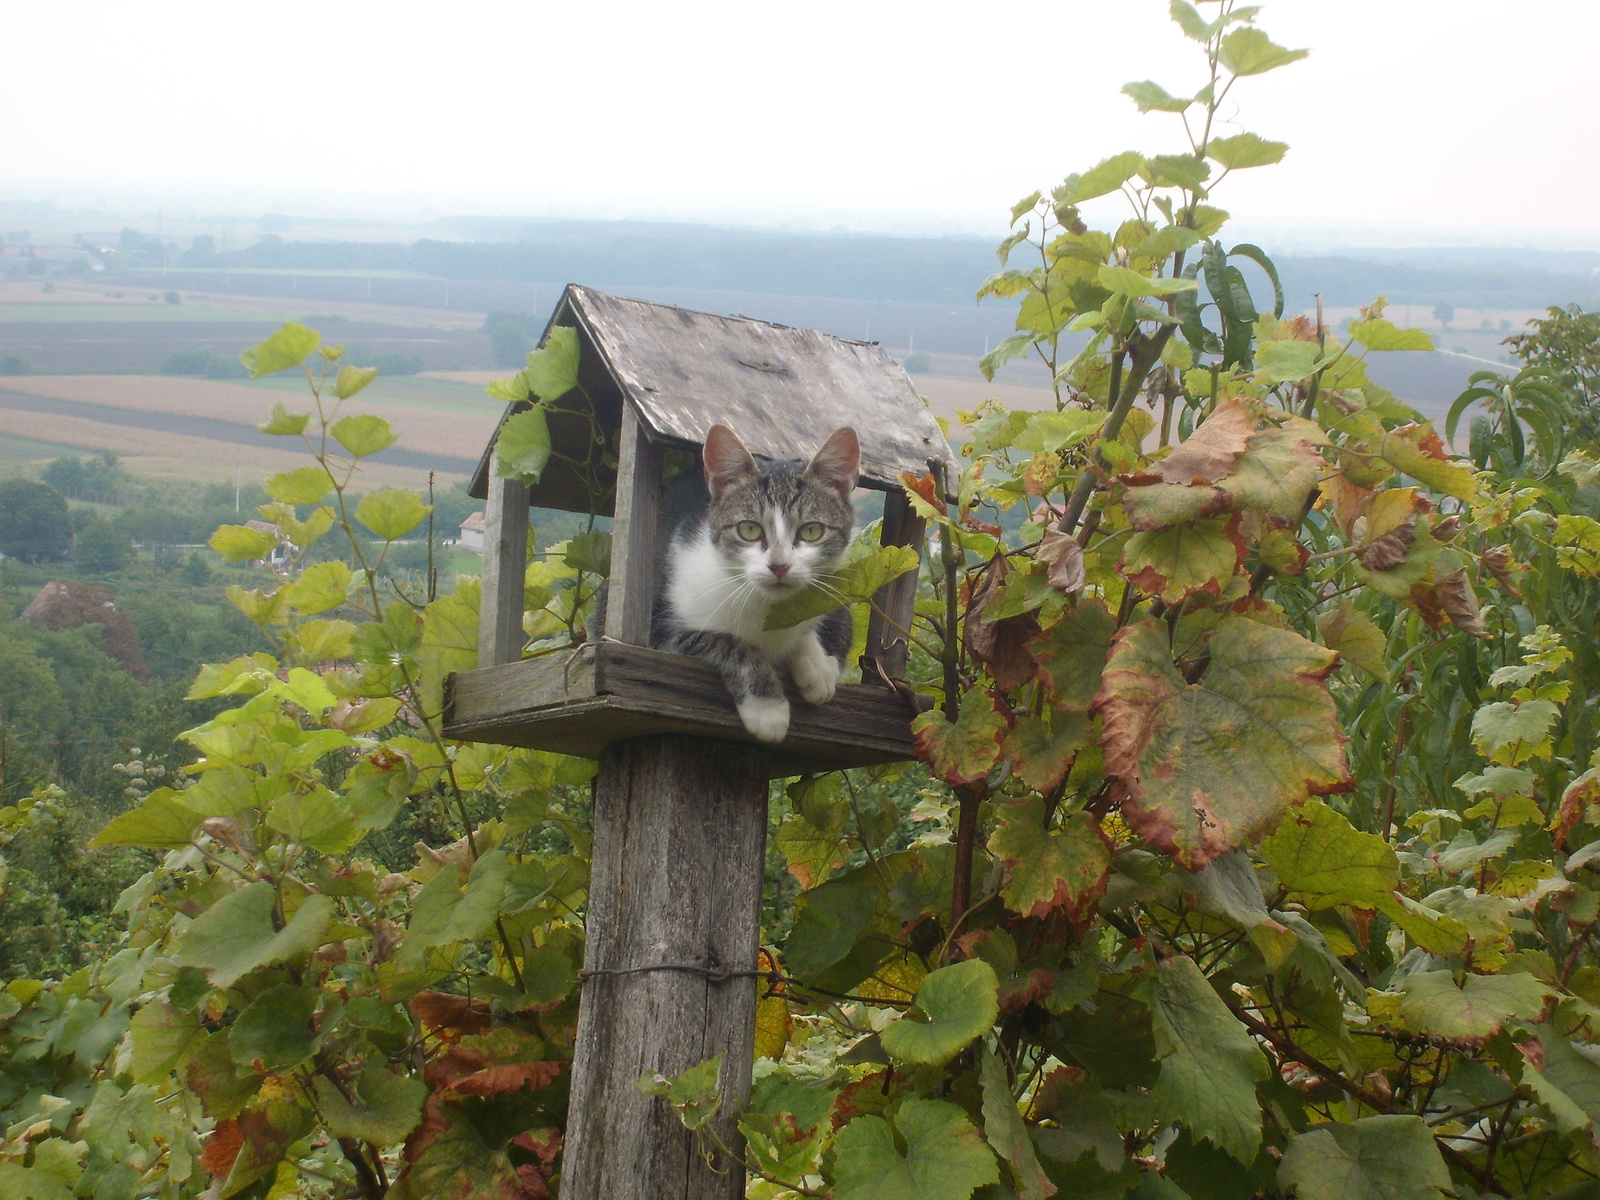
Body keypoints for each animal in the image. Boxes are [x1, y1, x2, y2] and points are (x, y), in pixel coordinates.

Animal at [649, 422, 857, 742]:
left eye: (811, 531)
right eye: (749, 529)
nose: (779, 565)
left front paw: (817, 664)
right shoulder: (659, 628)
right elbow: (727, 642)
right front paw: (767, 707)